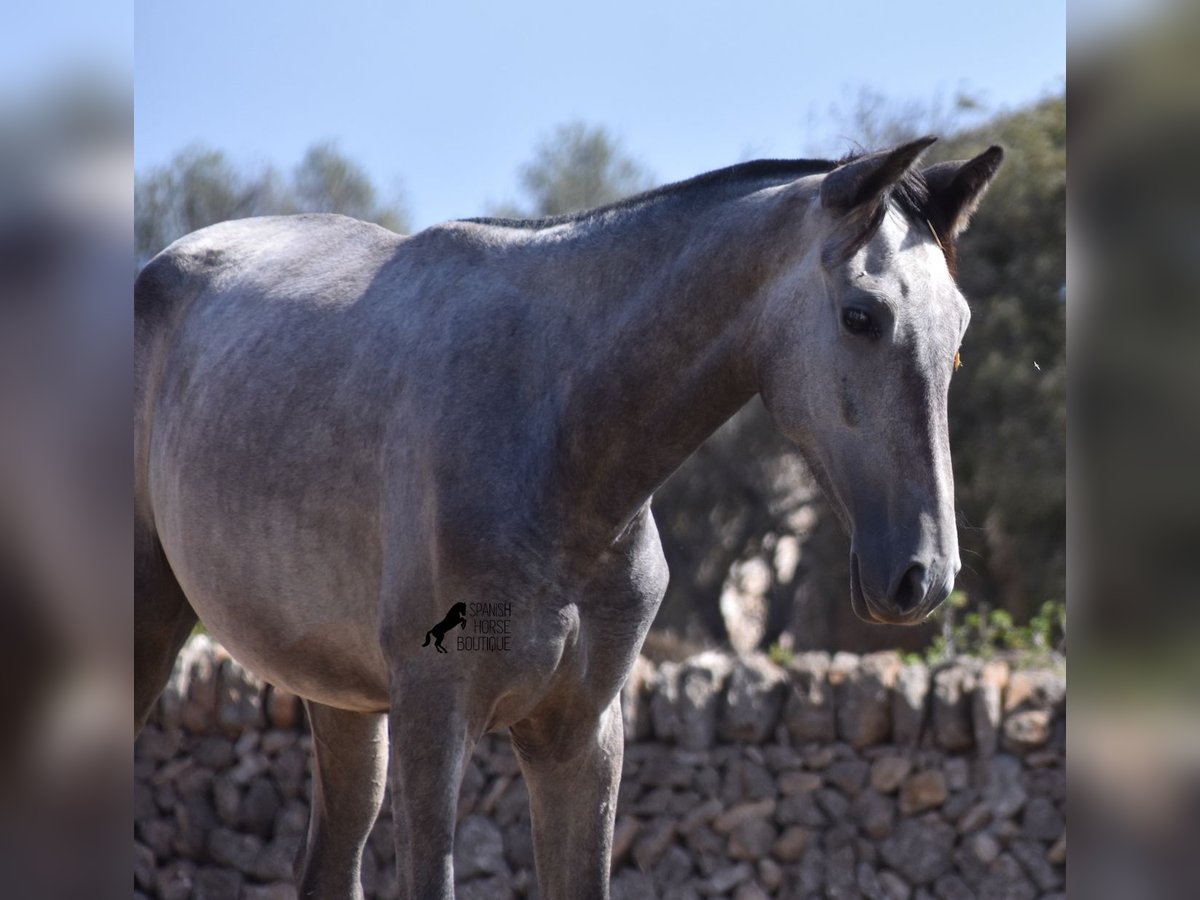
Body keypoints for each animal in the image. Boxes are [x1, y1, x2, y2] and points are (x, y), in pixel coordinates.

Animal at [133, 135, 1003, 900]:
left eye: (959, 333)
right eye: (861, 316)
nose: (923, 575)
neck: (554, 433)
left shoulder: (579, 738)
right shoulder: (434, 726)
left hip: (342, 702)